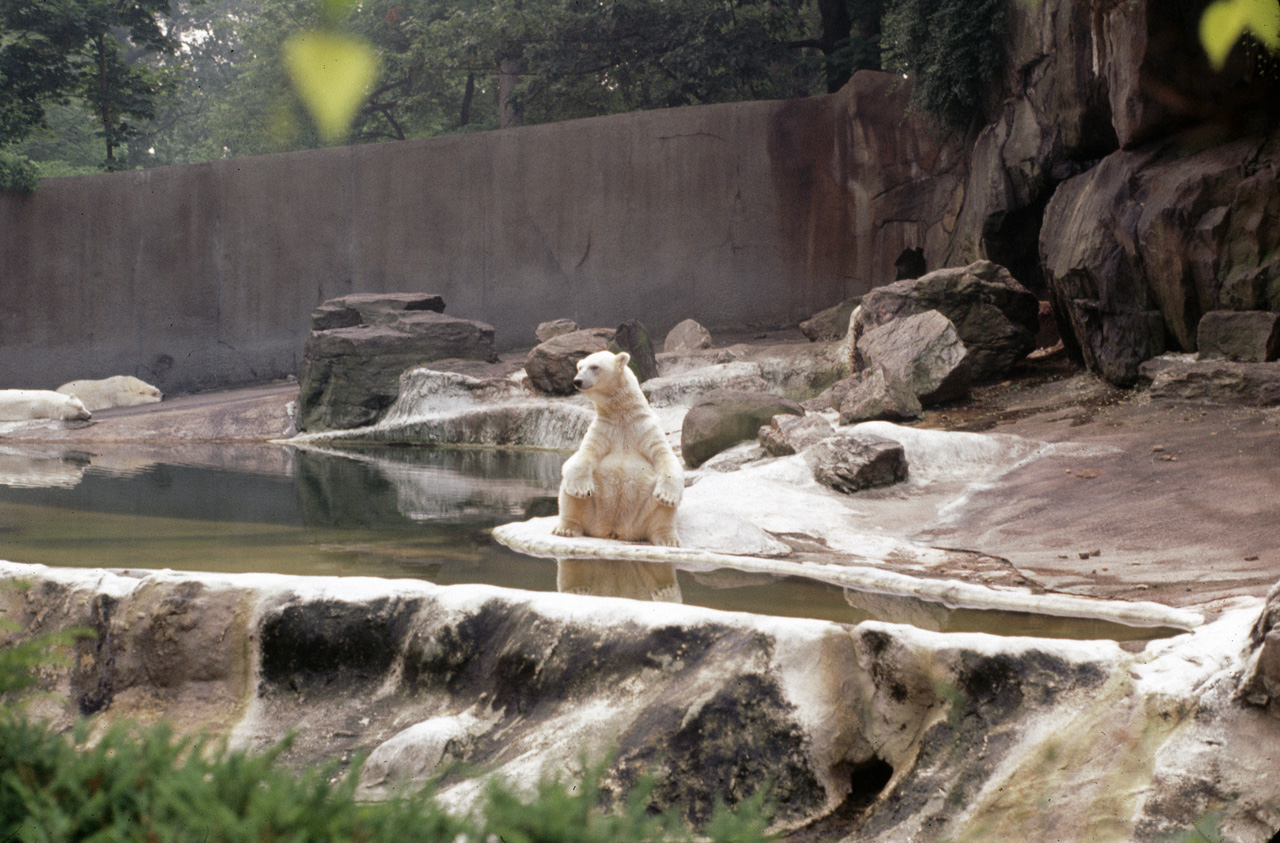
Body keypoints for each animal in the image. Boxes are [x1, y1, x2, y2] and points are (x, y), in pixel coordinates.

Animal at [555, 350, 686, 547]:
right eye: (579, 367)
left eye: (594, 367)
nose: (577, 381)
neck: (623, 415)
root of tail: (614, 530)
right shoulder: (603, 430)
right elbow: (581, 457)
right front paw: (580, 489)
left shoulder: (645, 429)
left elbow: (665, 458)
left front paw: (667, 496)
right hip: (594, 509)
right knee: (569, 496)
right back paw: (566, 528)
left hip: (643, 511)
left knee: (661, 511)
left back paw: (667, 539)